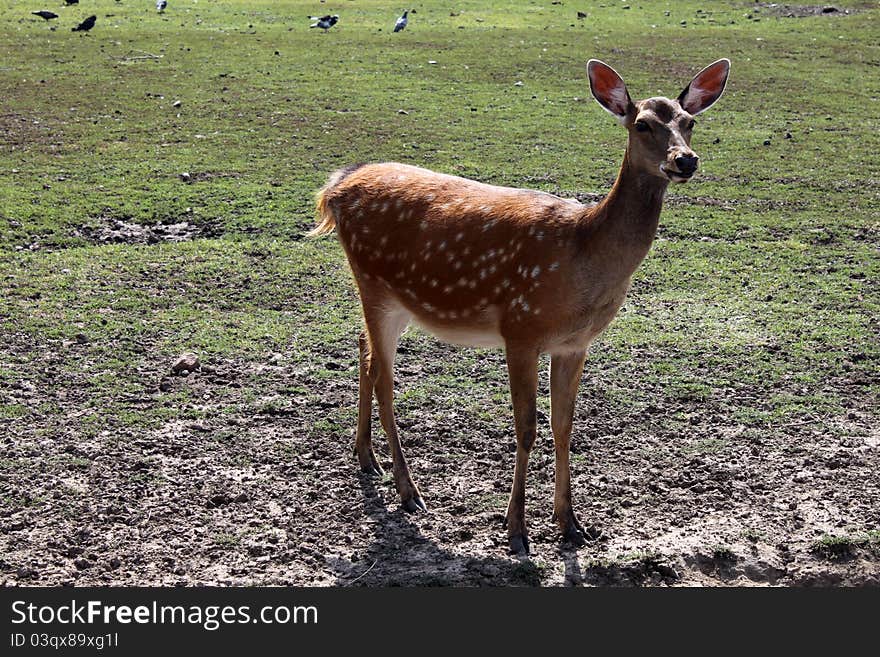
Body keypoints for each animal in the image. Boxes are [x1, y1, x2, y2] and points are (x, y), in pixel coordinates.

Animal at [308, 59, 728, 556]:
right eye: (641, 124)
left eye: (690, 122)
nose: (685, 160)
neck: (583, 252)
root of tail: (334, 189)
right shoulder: (521, 329)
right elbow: (526, 425)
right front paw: (516, 529)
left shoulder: (574, 343)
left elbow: (564, 425)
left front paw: (570, 523)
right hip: (373, 282)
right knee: (384, 377)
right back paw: (408, 490)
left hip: (395, 300)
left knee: (362, 347)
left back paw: (366, 456)